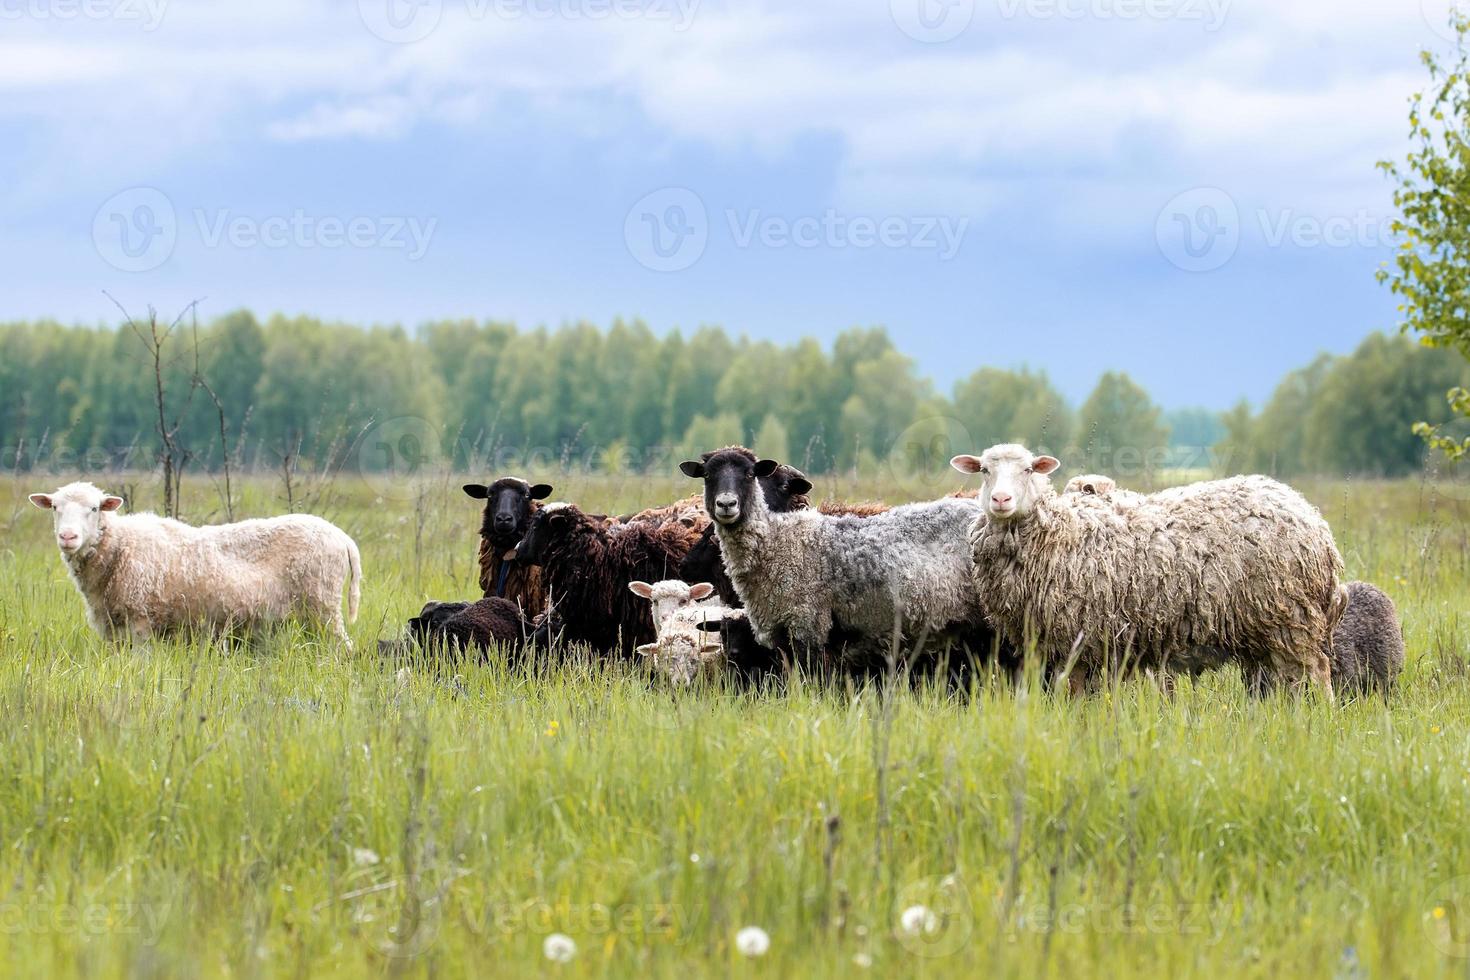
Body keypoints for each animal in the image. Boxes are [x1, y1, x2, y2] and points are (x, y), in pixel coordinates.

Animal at [30, 484, 361, 652]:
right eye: (55, 508)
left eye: (94, 508)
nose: (67, 537)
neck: (119, 547)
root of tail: (342, 537)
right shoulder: (114, 627)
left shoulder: (141, 619)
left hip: (322, 605)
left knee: (342, 647)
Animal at [682, 446, 993, 667]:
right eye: (707, 475)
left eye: (749, 474)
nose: (726, 504)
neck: (780, 541)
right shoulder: (782, 635)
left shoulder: (809, 626)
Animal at [946, 443, 1346, 696]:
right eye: (984, 470)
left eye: (1028, 469)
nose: (1000, 499)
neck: (1060, 531)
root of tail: (1310, 515)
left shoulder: (1078, 634)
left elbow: (1072, 692)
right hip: (1269, 625)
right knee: (1287, 680)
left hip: (1292, 617)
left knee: (1318, 673)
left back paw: (1321, 720)